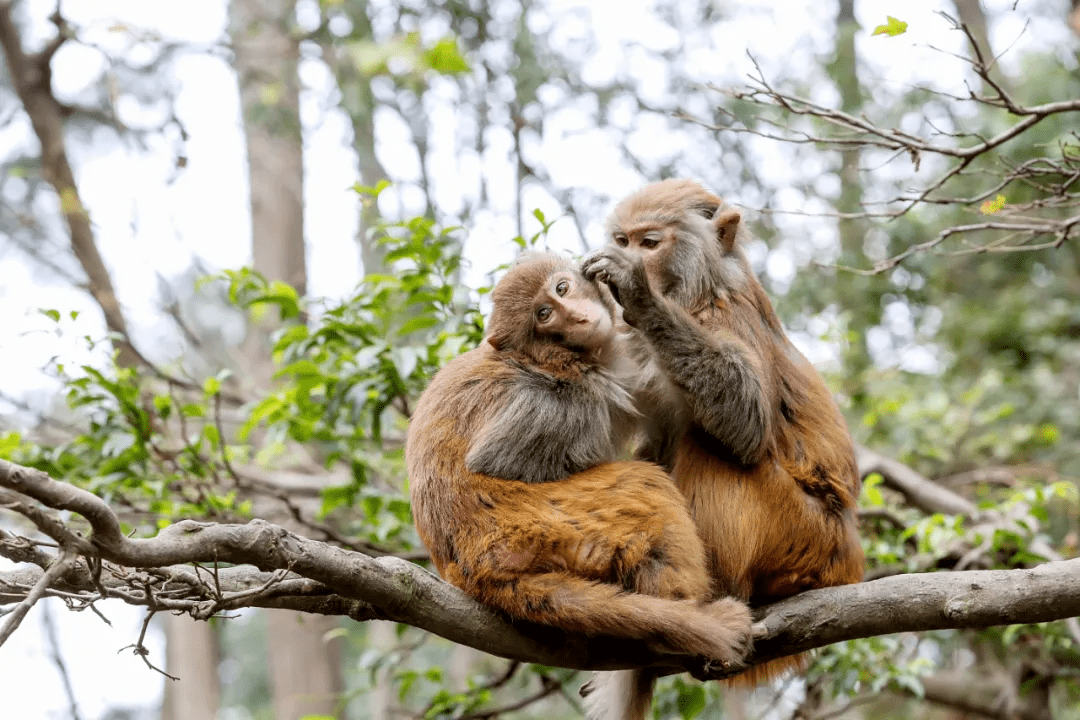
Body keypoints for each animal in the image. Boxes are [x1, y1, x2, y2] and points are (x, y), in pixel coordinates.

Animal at [406, 253, 751, 720]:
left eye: (563, 289)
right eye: (544, 315)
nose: (577, 316)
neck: (556, 359)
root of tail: (469, 567)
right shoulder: (561, 404)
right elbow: (495, 462)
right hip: (535, 527)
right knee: (643, 483)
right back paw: (683, 617)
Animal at [583, 179, 868, 677]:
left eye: (649, 243)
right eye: (622, 239)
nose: (628, 257)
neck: (695, 292)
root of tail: (848, 559)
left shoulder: (726, 314)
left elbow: (748, 421)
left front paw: (640, 296)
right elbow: (657, 446)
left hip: (805, 537)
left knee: (710, 446)